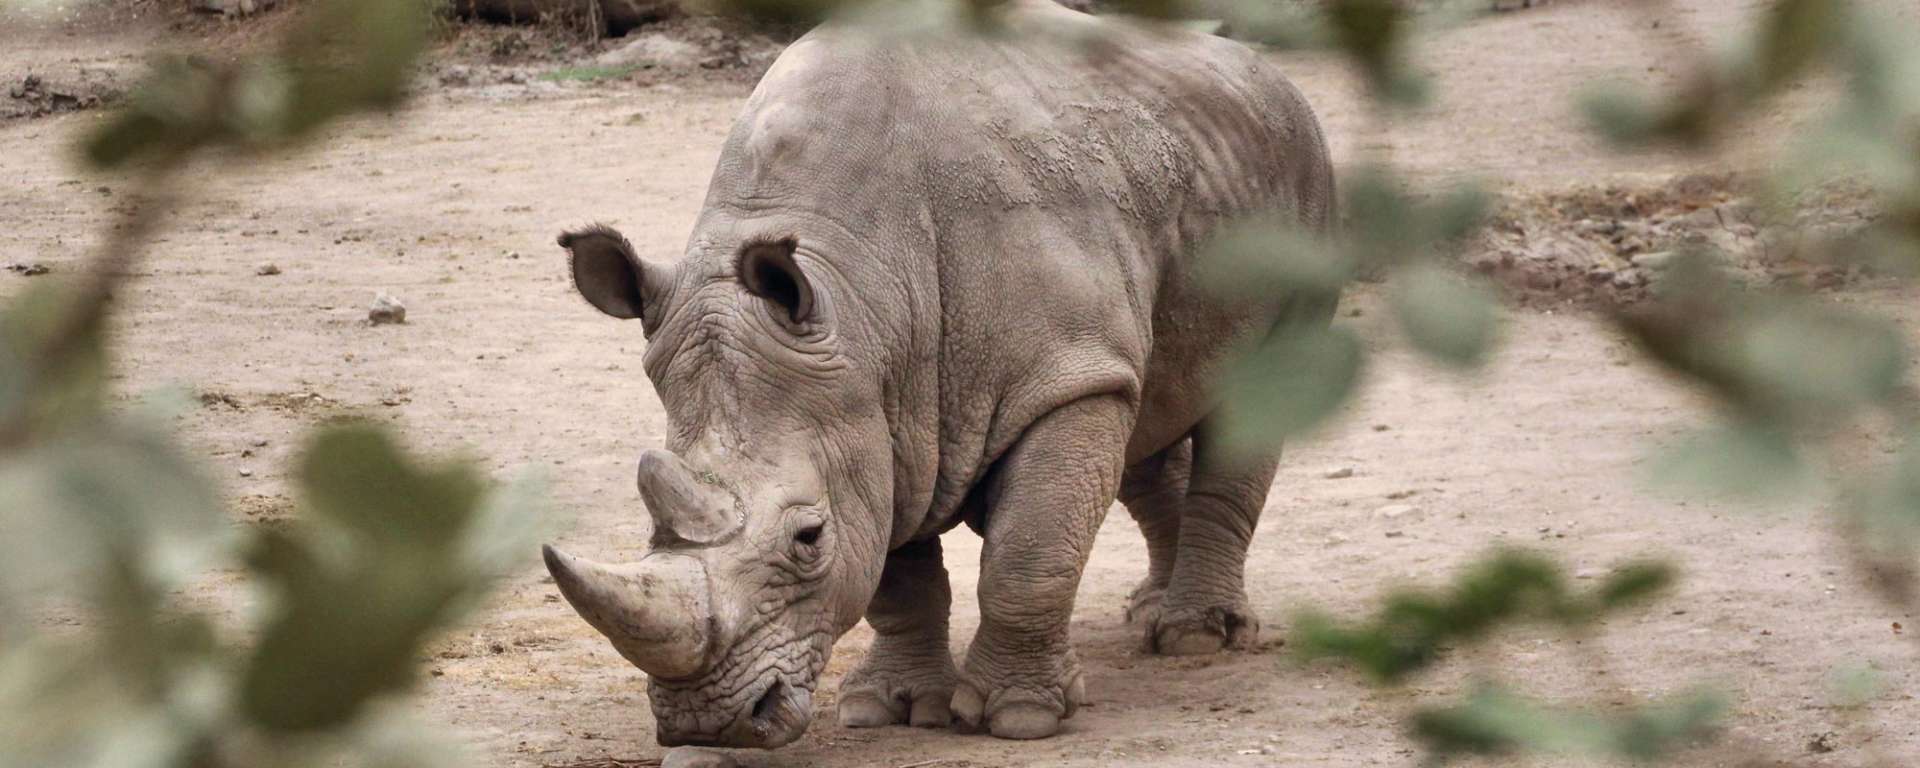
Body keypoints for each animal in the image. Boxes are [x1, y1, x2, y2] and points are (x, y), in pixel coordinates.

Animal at [544, 0, 1335, 749]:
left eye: (809, 539)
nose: (709, 725)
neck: (862, 302)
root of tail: (1271, 76)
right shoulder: (874, 413)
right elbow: (897, 576)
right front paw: (889, 709)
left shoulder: (1055, 375)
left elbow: (1029, 551)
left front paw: (1017, 716)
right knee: (1147, 406)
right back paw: (1149, 616)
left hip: (1302, 179)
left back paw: (1196, 638)